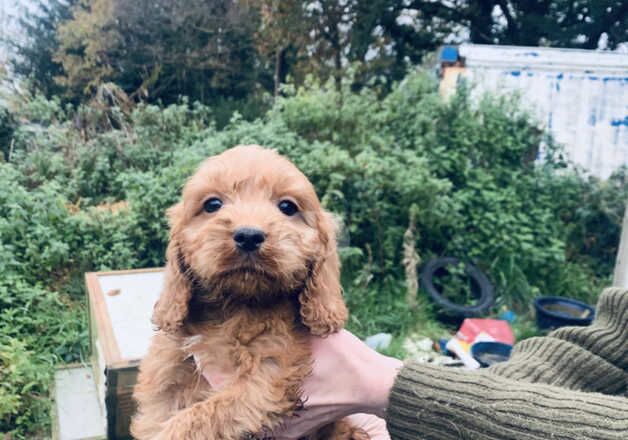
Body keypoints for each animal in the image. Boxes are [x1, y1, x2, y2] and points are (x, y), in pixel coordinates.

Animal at [132, 145, 368, 440]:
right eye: (212, 205)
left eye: (287, 207)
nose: (249, 236)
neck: (236, 304)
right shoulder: (166, 375)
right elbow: (159, 418)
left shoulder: (266, 374)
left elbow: (203, 415)